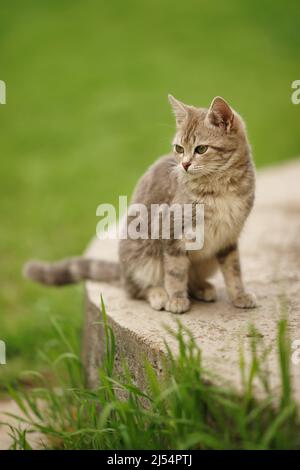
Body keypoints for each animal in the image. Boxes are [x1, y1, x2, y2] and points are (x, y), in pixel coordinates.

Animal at [24, 95, 256, 314]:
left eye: (201, 149)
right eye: (179, 148)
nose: (184, 164)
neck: (220, 188)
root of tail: (122, 271)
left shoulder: (228, 239)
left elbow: (233, 271)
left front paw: (239, 295)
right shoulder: (173, 234)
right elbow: (175, 272)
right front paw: (176, 299)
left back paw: (201, 287)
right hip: (144, 258)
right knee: (136, 289)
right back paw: (158, 294)